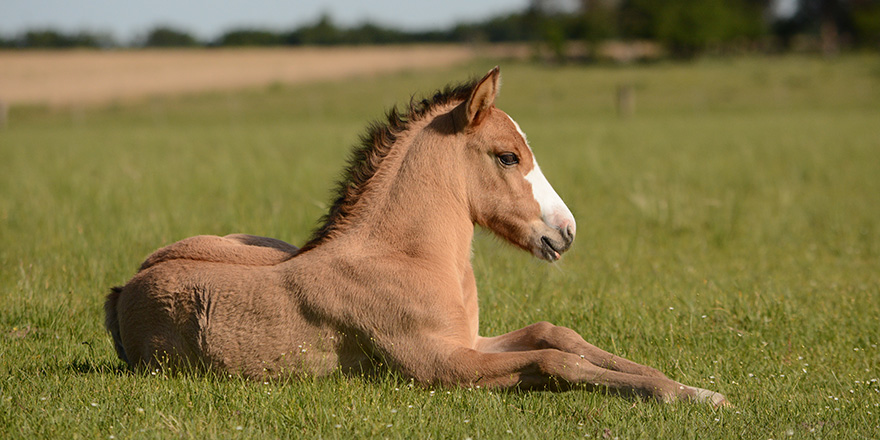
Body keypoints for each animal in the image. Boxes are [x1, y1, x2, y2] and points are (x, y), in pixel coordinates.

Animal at [105, 65, 728, 406]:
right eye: (507, 156)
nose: (566, 232)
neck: (407, 258)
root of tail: (123, 288)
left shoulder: (470, 341)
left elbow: (558, 335)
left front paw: (694, 390)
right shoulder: (440, 365)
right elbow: (556, 362)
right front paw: (680, 396)